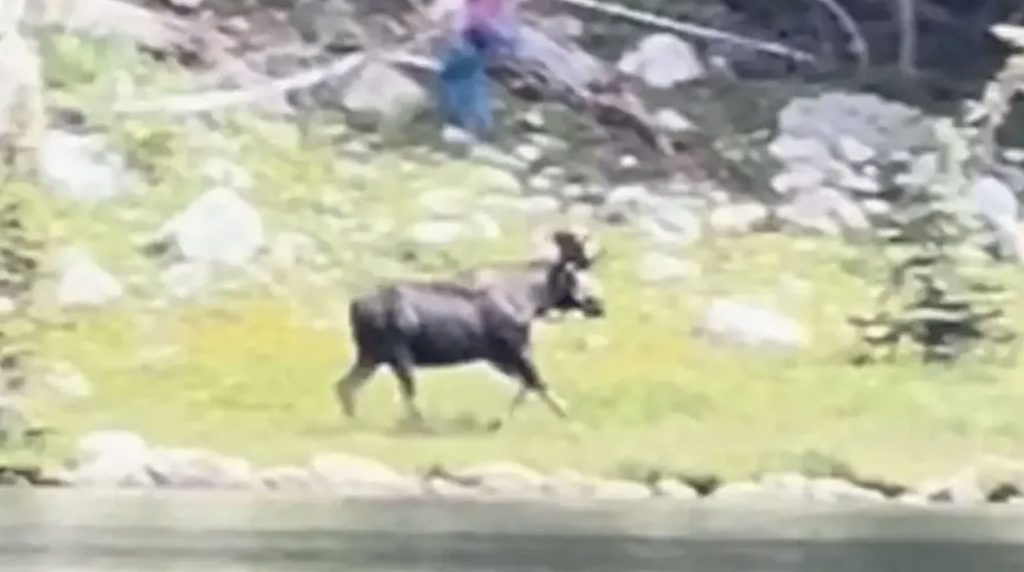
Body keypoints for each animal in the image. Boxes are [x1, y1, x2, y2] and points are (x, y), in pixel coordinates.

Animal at [333, 257, 606, 428]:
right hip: (396, 353)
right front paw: (568, 416)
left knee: (345, 385)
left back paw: (354, 419)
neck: (530, 300)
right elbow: (537, 382)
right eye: (573, 278)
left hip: (371, 355)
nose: (597, 303)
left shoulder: (498, 357)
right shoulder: (515, 348)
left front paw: (499, 421)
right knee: (405, 390)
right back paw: (419, 424)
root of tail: (354, 306)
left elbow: (526, 385)